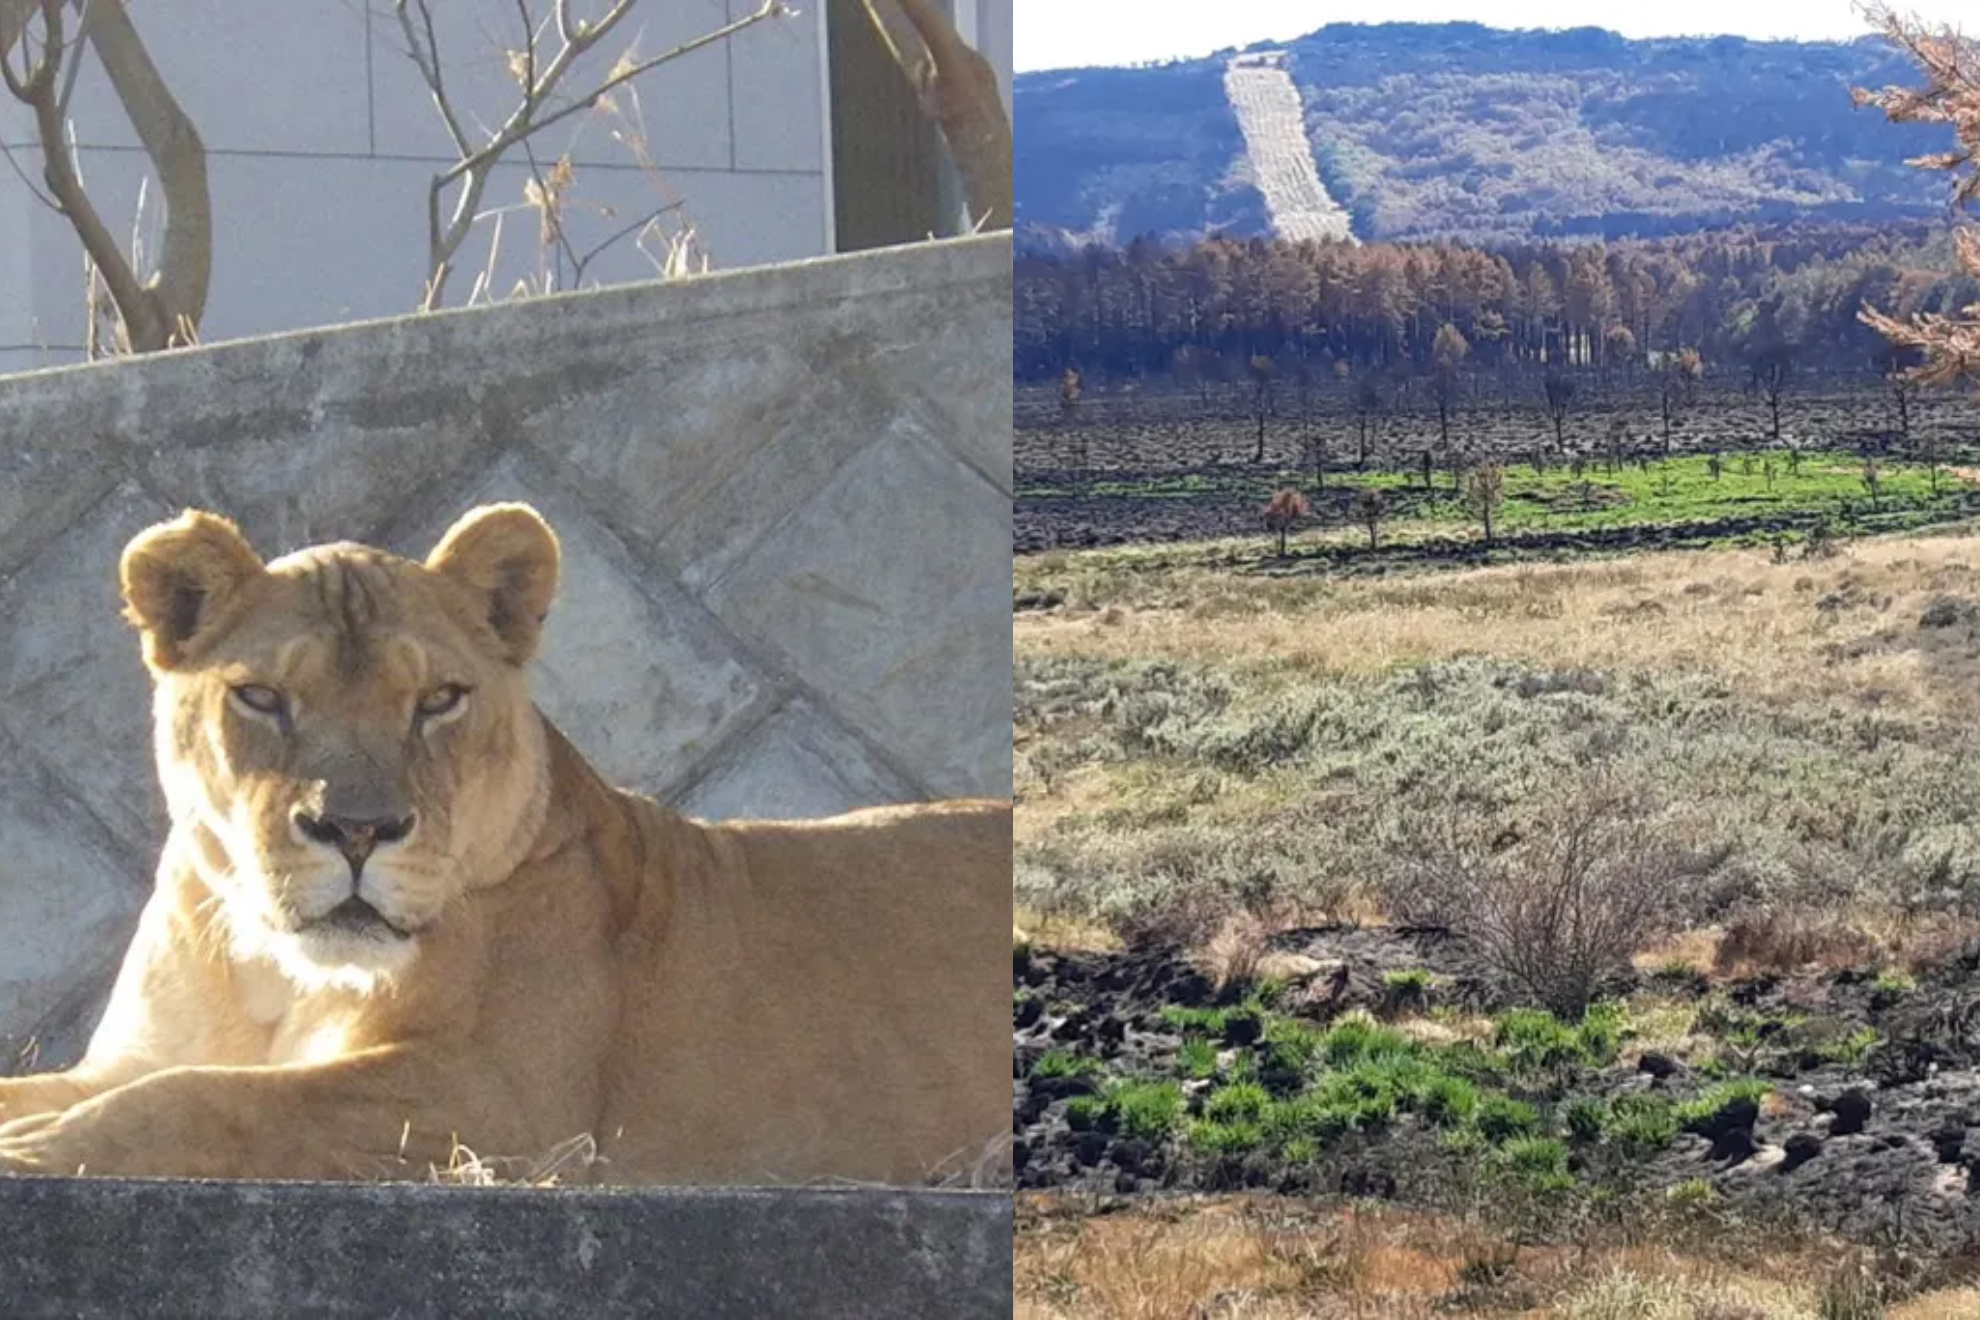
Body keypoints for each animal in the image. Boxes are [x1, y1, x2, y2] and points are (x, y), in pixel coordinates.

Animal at [0, 504, 1010, 1186]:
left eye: (439, 700)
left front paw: (32, 1150)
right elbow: (114, 1082)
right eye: (261, 698)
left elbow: (225, 1097)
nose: (356, 830)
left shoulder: (501, 1102)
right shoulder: (123, 1061)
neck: (275, 976)